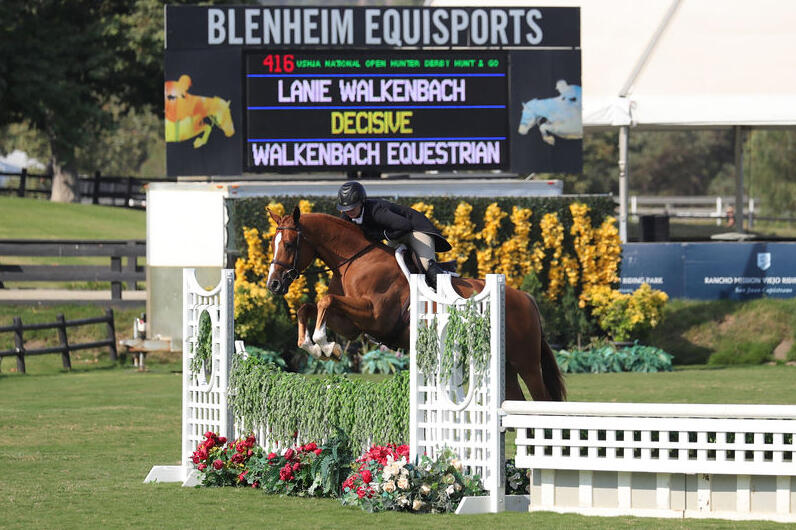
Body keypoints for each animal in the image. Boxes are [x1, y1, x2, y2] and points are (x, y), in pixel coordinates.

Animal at [268, 206, 564, 400]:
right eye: (273, 243)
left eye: (290, 244)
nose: (274, 284)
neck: (355, 259)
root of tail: (525, 298)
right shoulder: (350, 325)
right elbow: (309, 307)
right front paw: (317, 347)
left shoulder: (375, 316)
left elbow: (325, 300)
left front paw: (324, 345)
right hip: (505, 365)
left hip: (526, 362)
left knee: (540, 401)